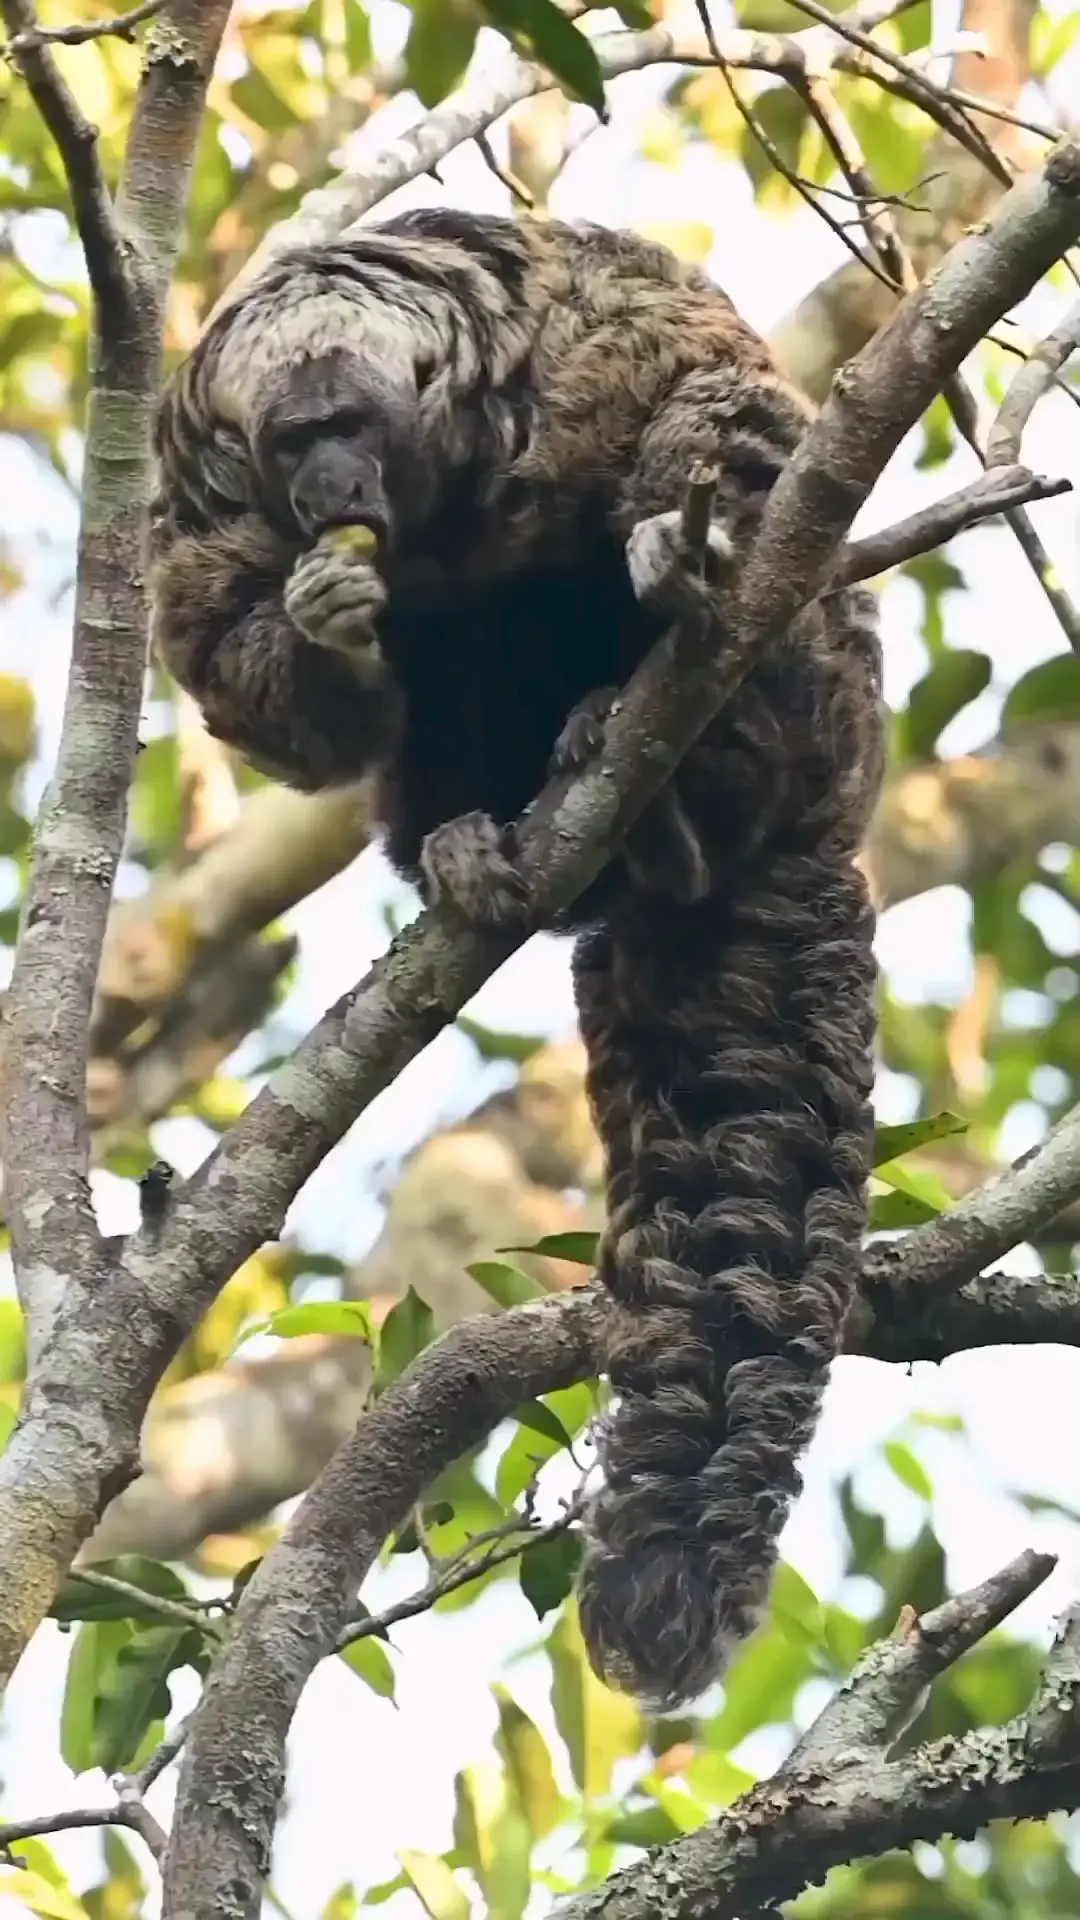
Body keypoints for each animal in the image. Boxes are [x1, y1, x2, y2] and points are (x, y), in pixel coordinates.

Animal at [149, 207, 884, 1712]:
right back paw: (498, 841)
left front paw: (671, 536)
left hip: (818, 707)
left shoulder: (588, 341)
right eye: (291, 445)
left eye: (350, 426)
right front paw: (321, 615)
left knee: (755, 623)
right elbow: (251, 677)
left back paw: (664, 760)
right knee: (451, 679)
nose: (332, 485)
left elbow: (719, 408)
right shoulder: (207, 497)